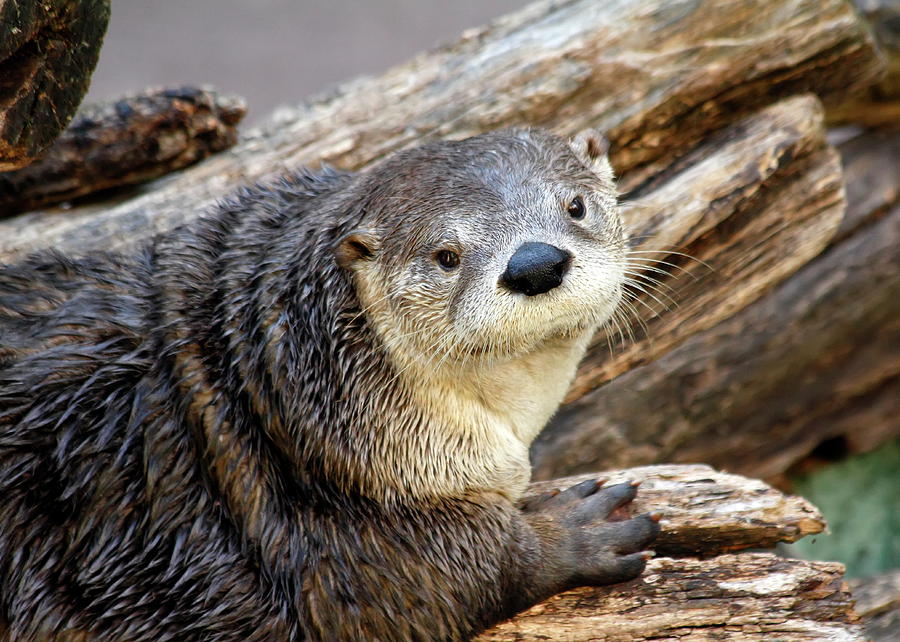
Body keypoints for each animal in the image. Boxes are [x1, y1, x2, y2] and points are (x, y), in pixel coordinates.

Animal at [1, 127, 660, 636]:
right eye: (446, 256)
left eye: (575, 206)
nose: (536, 263)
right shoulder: (298, 534)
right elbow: (405, 585)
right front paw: (576, 529)